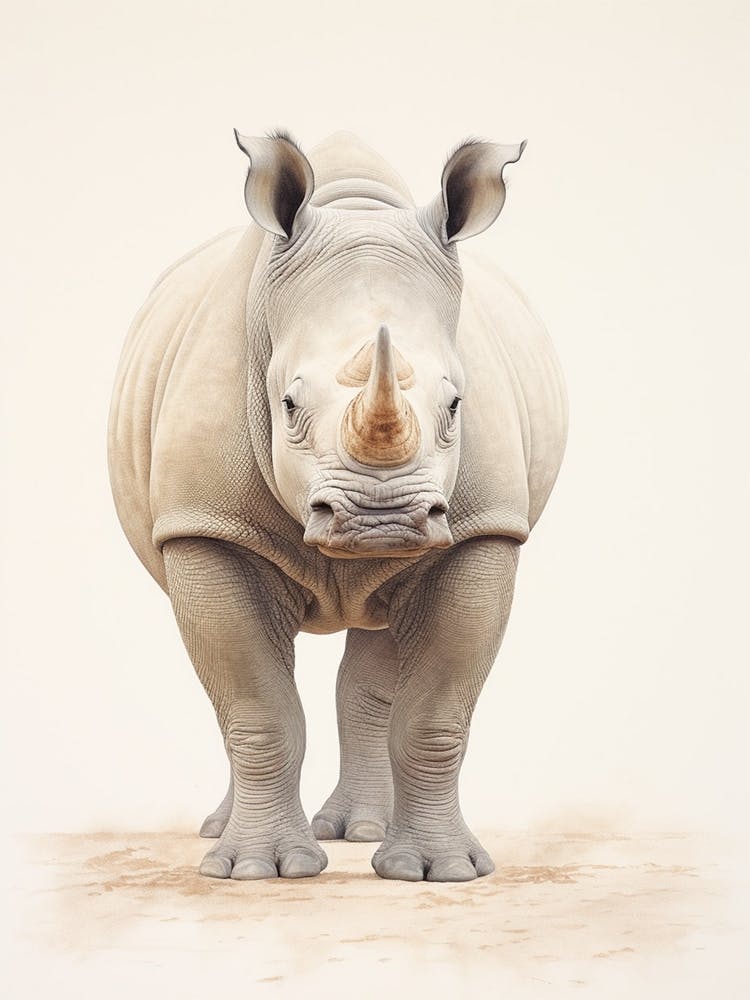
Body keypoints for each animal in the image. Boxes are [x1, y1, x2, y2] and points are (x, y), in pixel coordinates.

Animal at [108, 129, 567, 882]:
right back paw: (224, 836)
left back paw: (363, 833)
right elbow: (257, 708)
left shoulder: (483, 529)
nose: (382, 520)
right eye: (288, 405)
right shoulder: (205, 527)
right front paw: (260, 871)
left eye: (456, 404)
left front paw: (443, 873)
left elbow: (435, 716)